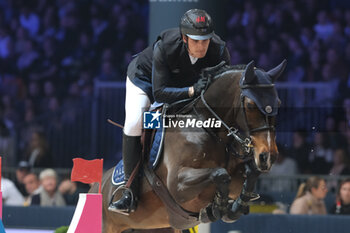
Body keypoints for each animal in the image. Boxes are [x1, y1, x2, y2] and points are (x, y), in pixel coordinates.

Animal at [90, 59, 288, 232]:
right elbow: (220, 174)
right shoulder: (178, 185)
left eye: (278, 103)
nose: (268, 156)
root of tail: (95, 187)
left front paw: (235, 206)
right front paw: (217, 207)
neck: (208, 128)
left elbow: (250, 173)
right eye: (250, 105)